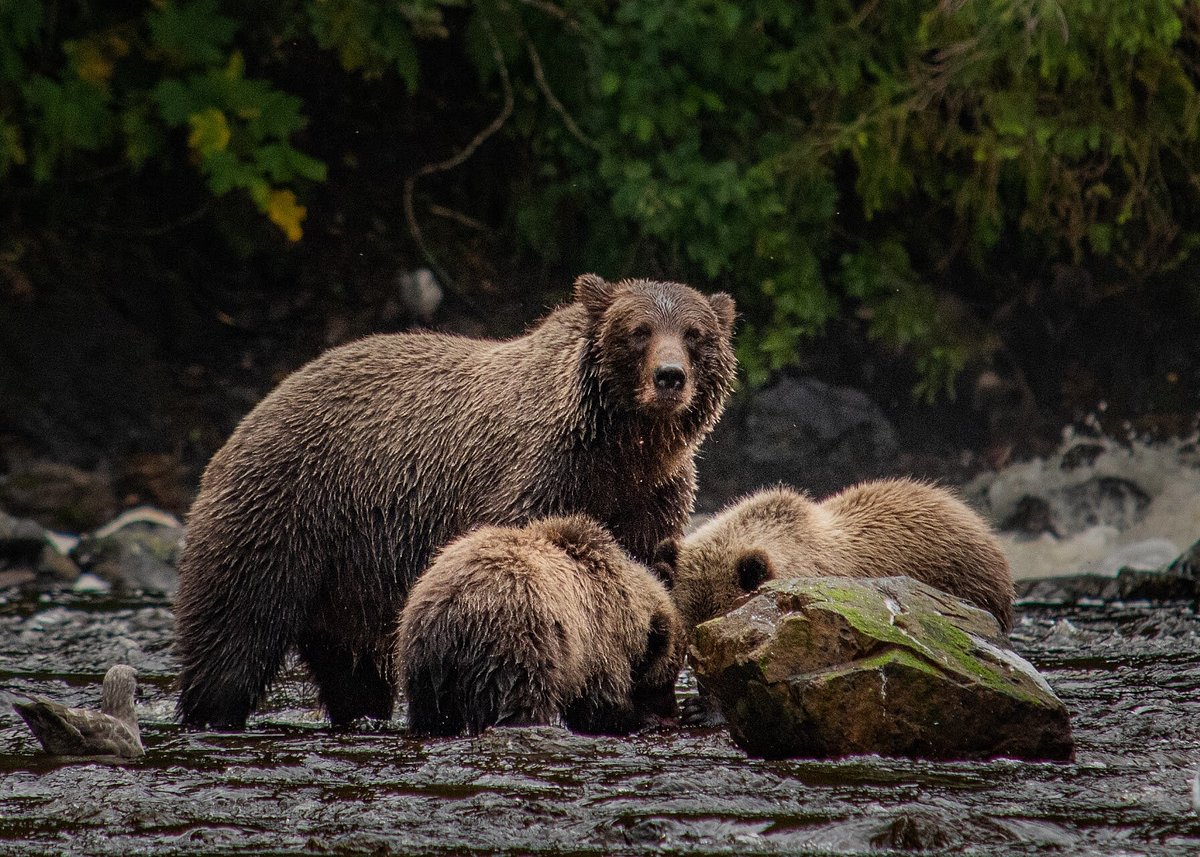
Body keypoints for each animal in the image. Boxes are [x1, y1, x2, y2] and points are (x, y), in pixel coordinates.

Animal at [174, 274, 734, 729]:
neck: (621, 447)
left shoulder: (653, 496)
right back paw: (211, 711)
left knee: (354, 667)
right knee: (233, 637)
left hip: (347, 578)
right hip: (283, 516)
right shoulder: (539, 476)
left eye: (694, 333)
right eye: (639, 330)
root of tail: (254, 413)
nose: (669, 376)